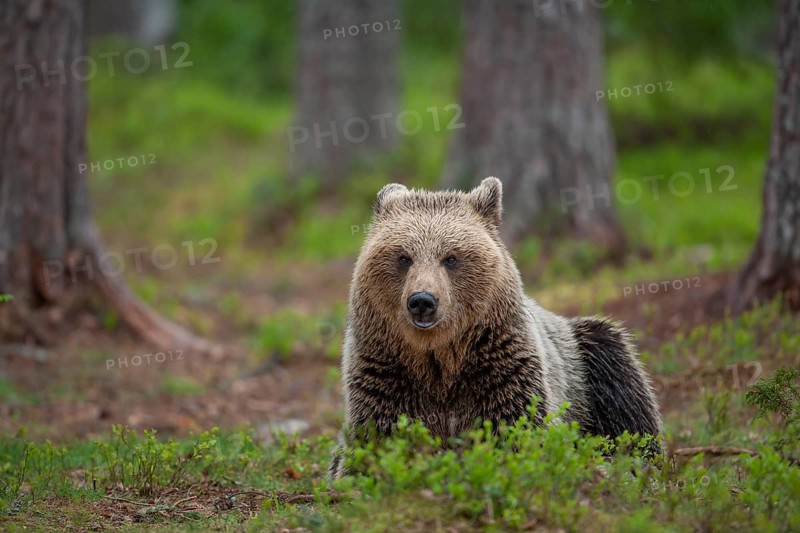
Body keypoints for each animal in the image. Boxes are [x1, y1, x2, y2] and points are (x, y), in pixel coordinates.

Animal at [329, 177, 662, 478]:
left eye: (451, 258)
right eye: (403, 257)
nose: (422, 301)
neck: (439, 357)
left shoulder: (500, 366)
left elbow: (520, 428)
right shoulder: (385, 372)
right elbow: (375, 440)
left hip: (582, 360)